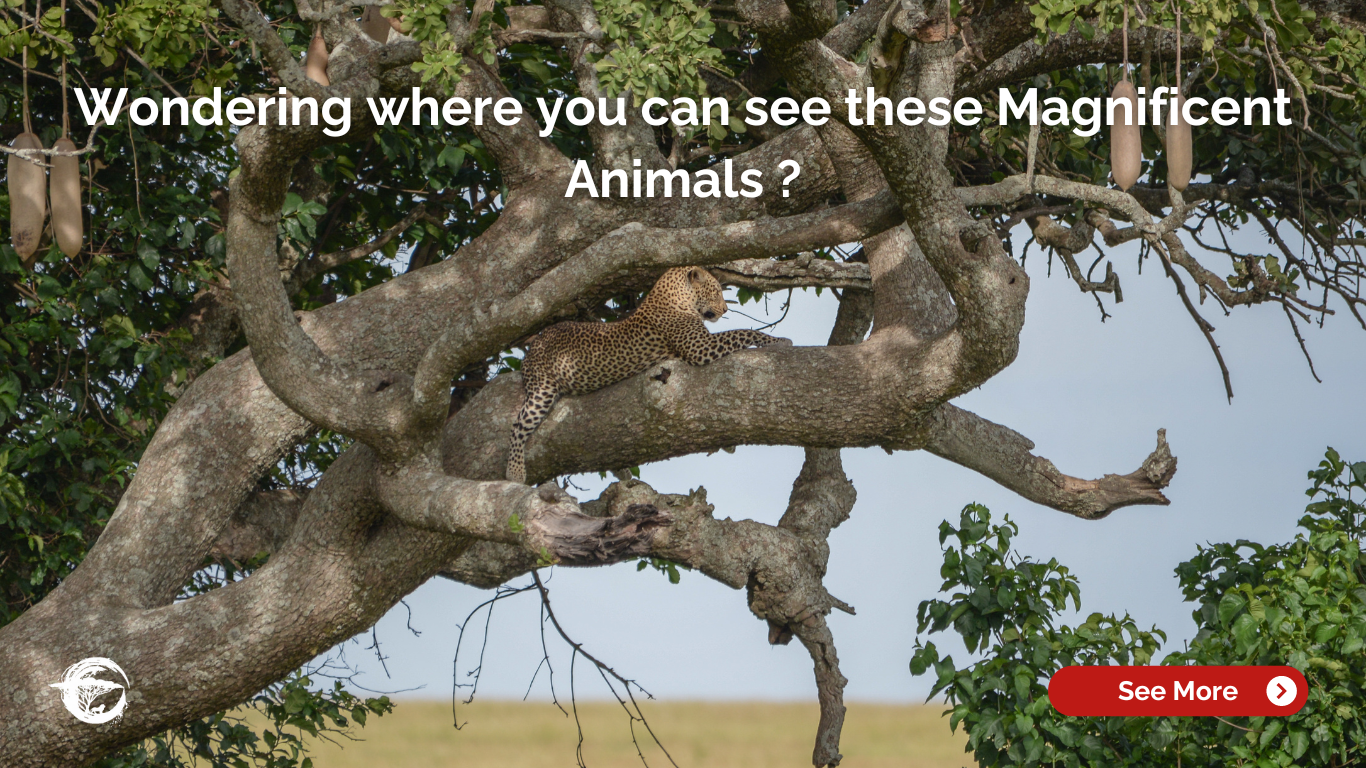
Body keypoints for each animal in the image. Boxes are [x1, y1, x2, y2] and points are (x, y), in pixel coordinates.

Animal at [508, 266, 792, 481]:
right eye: (715, 291)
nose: (724, 310)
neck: (677, 298)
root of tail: (535, 343)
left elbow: (740, 333)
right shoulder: (701, 348)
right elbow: (743, 332)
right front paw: (779, 340)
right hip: (542, 390)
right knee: (517, 427)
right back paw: (514, 472)